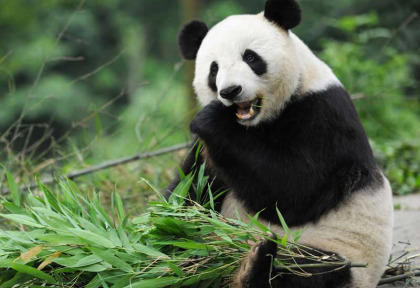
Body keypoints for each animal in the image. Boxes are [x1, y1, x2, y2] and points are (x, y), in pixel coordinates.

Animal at [167, 0, 394, 288]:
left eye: (251, 58)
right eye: (214, 69)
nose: (230, 91)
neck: (256, 124)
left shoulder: (325, 115)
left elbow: (295, 191)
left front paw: (212, 119)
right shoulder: (209, 154)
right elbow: (188, 193)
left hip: (338, 251)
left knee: (311, 268)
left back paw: (253, 265)